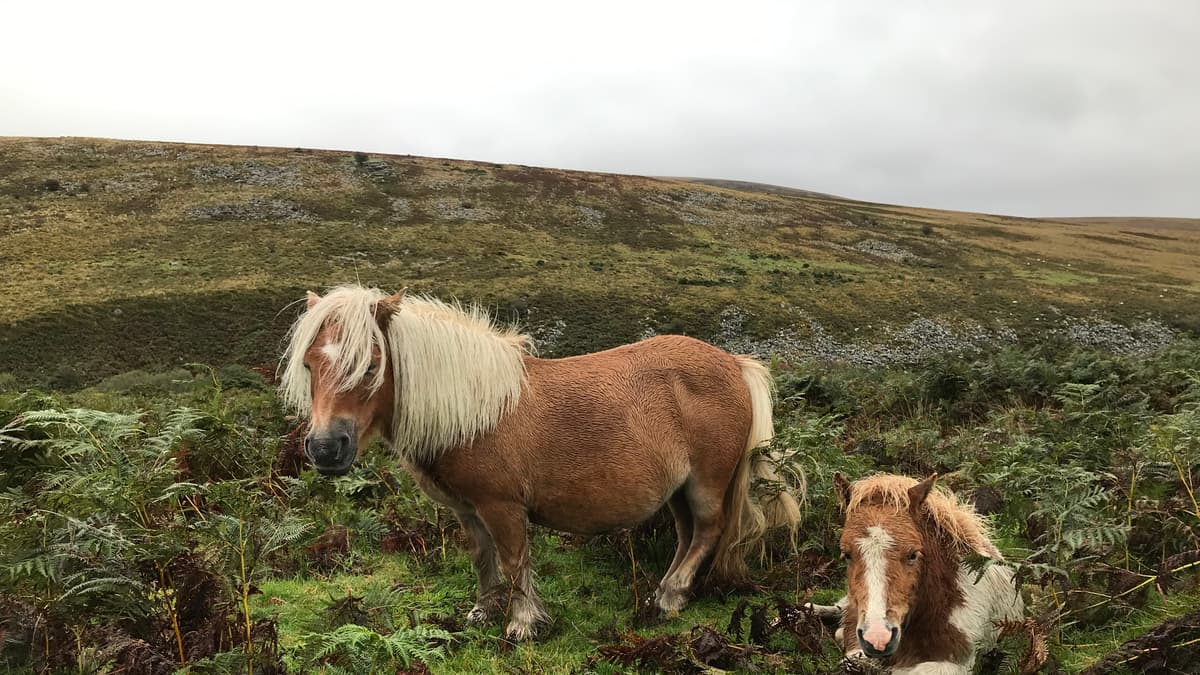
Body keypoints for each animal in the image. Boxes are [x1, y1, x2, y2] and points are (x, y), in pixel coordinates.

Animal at [279, 285, 801, 640]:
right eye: (308, 364)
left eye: (370, 365)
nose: (325, 448)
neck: (474, 411)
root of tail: (735, 364)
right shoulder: (468, 510)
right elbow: (483, 558)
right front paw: (484, 612)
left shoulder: (502, 507)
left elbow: (514, 561)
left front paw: (522, 623)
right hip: (677, 490)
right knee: (687, 534)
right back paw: (665, 592)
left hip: (706, 484)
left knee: (707, 532)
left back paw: (669, 598)